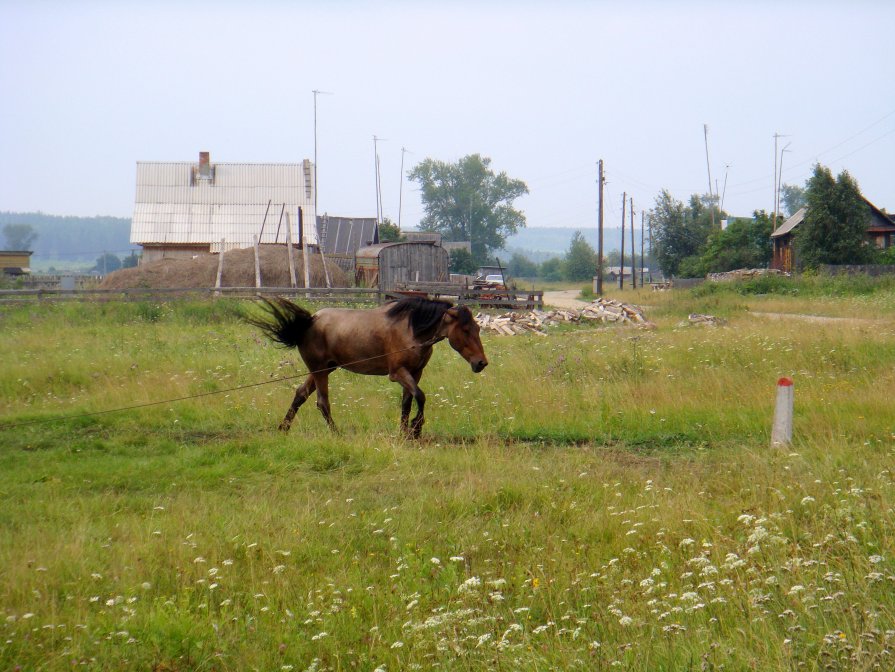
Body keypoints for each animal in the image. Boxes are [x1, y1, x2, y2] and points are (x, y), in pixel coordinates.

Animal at [248, 296, 490, 438]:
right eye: (465, 330)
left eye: (478, 328)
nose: (481, 363)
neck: (412, 330)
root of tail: (310, 320)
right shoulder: (398, 373)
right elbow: (420, 397)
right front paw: (415, 428)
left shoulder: (415, 373)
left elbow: (407, 403)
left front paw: (404, 432)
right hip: (320, 371)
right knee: (322, 403)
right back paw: (336, 433)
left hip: (323, 369)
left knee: (300, 394)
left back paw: (283, 428)